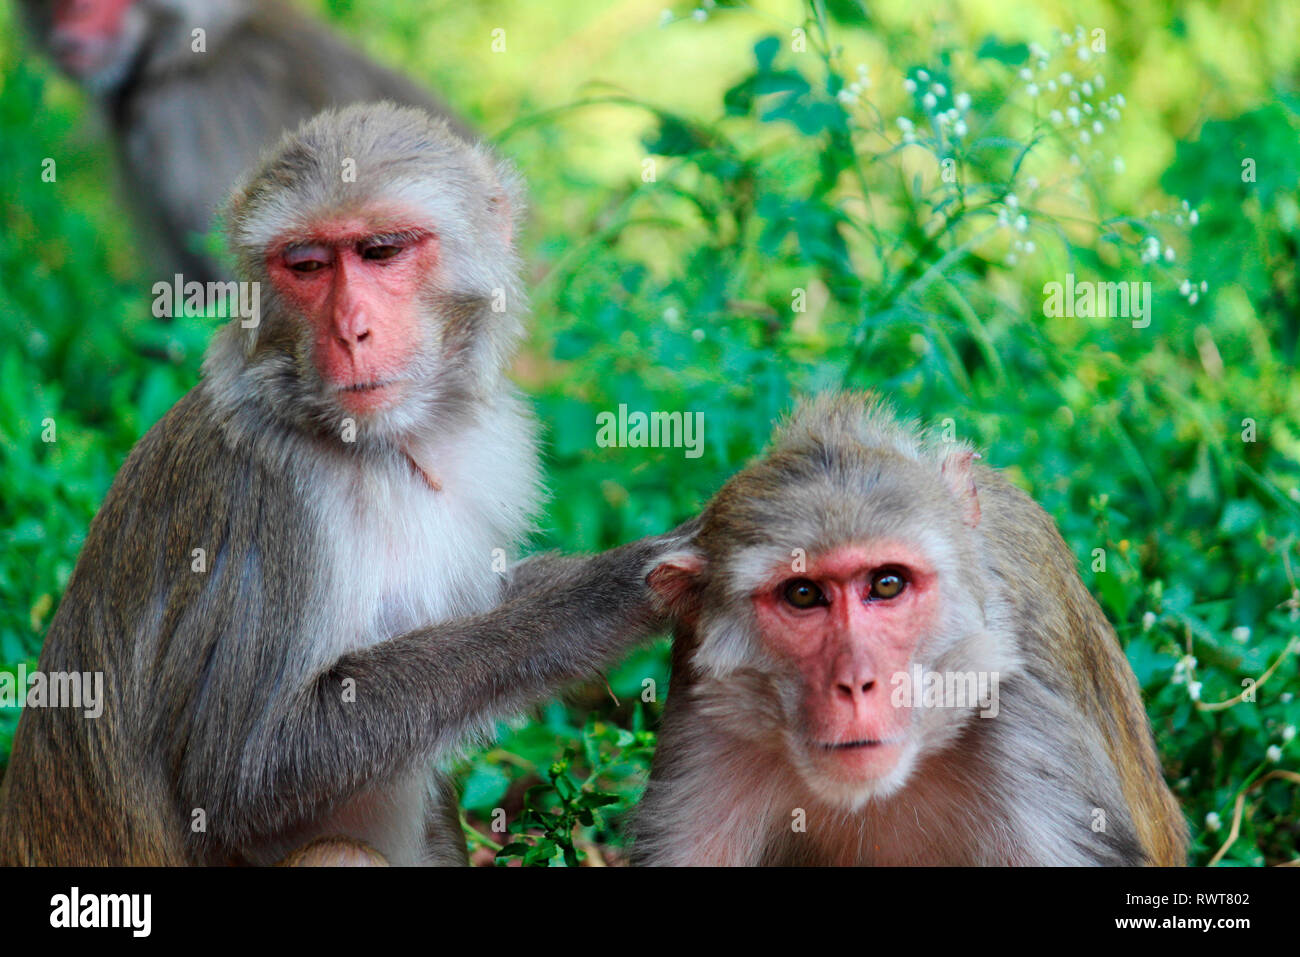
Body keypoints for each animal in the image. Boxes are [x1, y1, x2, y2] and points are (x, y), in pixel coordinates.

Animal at [0, 103, 683, 866]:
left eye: (381, 251)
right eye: (307, 265)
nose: (351, 331)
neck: (374, 447)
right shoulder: (270, 502)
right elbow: (244, 771)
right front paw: (616, 591)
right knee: (335, 847)